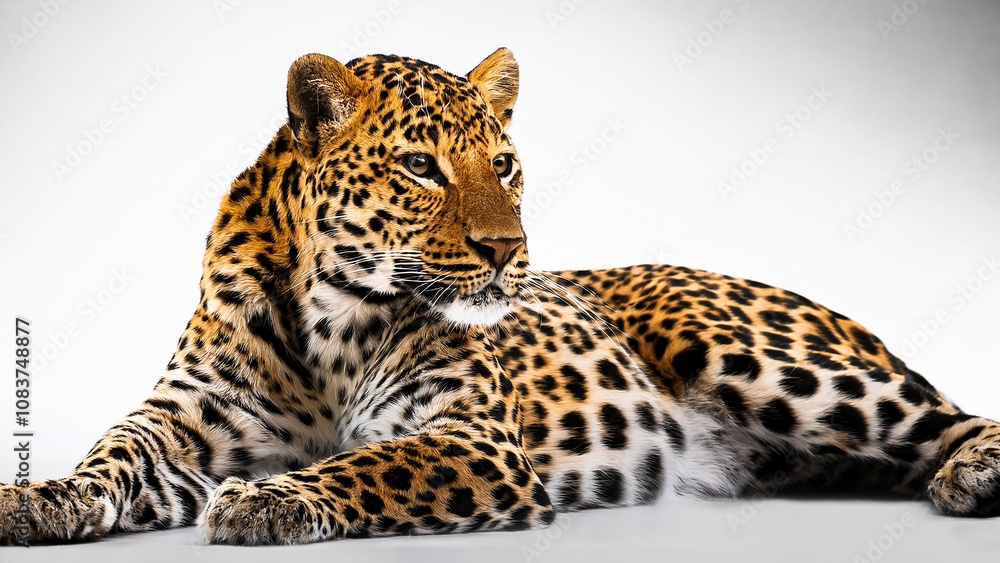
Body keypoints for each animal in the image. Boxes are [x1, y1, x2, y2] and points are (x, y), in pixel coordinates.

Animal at [2, 48, 998, 546]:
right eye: (420, 167)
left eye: (506, 165)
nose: (508, 248)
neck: (328, 319)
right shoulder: (183, 423)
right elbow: (113, 452)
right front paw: (41, 496)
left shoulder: (472, 439)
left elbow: (365, 464)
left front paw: (267, 500)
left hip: (750, 348)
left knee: (951, 415)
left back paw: (972, 473)